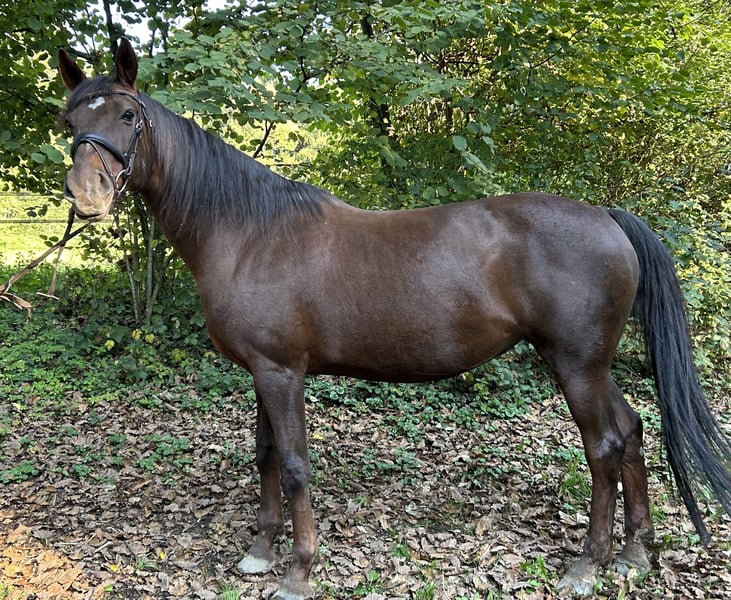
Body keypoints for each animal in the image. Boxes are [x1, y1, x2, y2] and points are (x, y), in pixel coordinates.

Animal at [57, 39, 731, 599]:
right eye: (70, 122)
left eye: (127, 116)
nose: (87, 195)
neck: (249, 234)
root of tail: (608, 217)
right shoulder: (261, 371)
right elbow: (267, 455)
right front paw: (259, 551)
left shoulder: (281, 372)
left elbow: (295, 466)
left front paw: (298, 573)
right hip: (591, 364)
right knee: (632, 433)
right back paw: (635, 556)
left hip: (574, 364)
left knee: (604, 449)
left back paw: (588, 565)